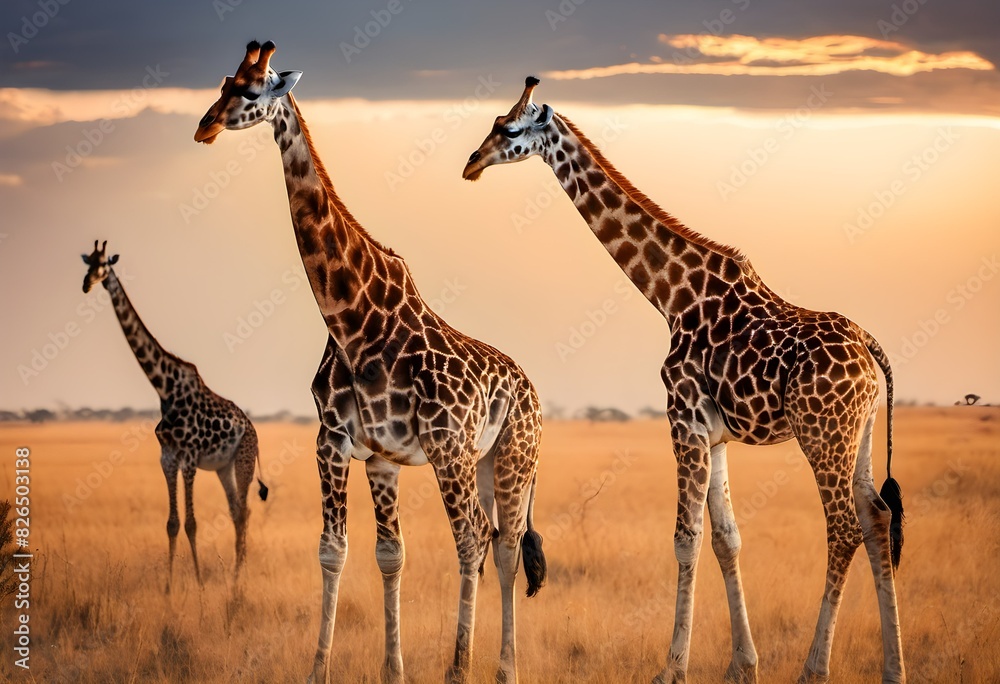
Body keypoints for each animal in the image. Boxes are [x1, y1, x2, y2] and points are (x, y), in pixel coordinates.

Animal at [81, 240, 268, 593]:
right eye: (87, 263)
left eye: (105, 265)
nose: (87, 283)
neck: (163, 387)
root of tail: (252, 429)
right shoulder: (167, 457)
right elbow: (171, 522)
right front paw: (168, 589)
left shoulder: (189, 457)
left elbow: (192, 523)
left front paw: (199, 586)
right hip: (223, 467)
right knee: (236, 511)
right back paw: (235, 578)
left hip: (244, 460)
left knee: (246, 511)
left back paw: (239, 580)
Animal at [194, 42, 546, 684]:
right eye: (224, 82)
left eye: (253, 91)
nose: (204, 126)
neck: (350, 321)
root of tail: (532, 391)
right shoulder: (353, 447)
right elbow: (370, 553)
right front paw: (378, 669)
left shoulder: (435, 444)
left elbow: (447, 547)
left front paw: (444, 667)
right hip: (485, 463)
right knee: (498, 543)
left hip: (503, 456)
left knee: (493, 544)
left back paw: (490, 668)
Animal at [463, 78, 905, 684]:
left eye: (508, 129)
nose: (470, 164)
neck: (672, 295)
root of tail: (869, 346)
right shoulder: (714, 433)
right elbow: (726, 539)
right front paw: (742, 664)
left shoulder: (683, 418)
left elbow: (685, 540)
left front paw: (672, 668)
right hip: (857, 433)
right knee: (877, 518)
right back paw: (893, 667)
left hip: (823, 433)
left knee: (842, 528)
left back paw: (815, 669)